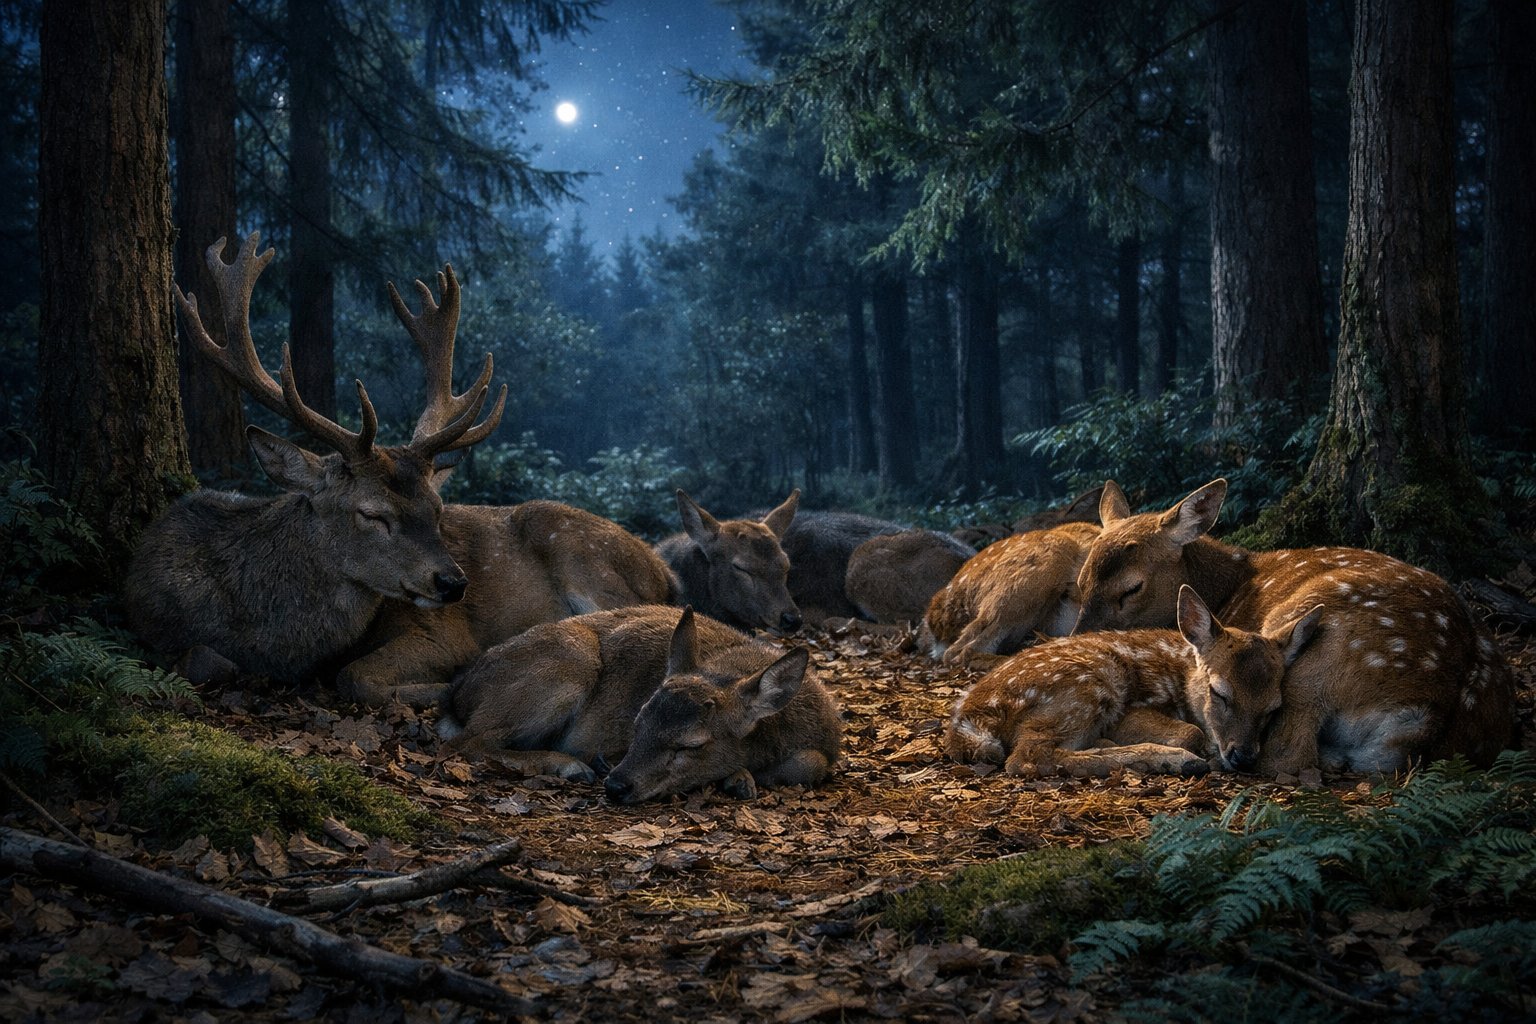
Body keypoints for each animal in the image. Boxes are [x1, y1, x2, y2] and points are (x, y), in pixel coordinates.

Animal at [127, 233, 676, 705]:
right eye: (371, 513)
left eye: (437, 509)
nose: (454, 583)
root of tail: (661, 566)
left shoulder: (440, 630)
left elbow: (355, 677)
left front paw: (445, 685)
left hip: (589, 560)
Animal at [437, 605, 842, 802]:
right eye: (637, 725)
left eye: (691, 744)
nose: (616, 786)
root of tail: (459, 692)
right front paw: (739, 778)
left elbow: (812, 762)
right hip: (569, 662)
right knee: (466, 742)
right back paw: (569, 766)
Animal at [947, 586, 1324, 777]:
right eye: (1219, 693)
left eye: (1273, 708)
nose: (1244, 757)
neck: (1181, 676)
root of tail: (969, 718)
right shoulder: (1133, 709)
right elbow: (1191, 731)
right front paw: (1201, 753)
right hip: (1091, 682)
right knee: (1026, 757)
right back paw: (1175, 760)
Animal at [1071, 479, 1518, 774]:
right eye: (1081, 580)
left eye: (1132, 588)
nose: (1078, 638)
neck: (1227, 586)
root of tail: (1428, 715)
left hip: (1310, 661)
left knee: (1287, 756)